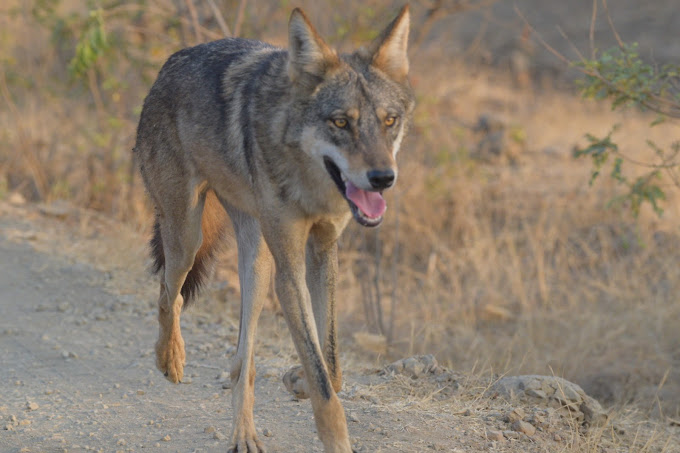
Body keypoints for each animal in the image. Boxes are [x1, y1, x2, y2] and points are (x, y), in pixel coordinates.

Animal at [131, 5, 412, 450]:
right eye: (340, 123)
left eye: (389, 121)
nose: (383, 177)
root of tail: (171, 62)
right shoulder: (290, 270)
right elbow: (326, 390)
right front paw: (334, 435)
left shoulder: (322, 253)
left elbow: (331, 367)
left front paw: (298, 379)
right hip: (187, 237)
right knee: (167, 295)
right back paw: (170, 359)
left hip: (257, 262)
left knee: (242, 362)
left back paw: (244, 433)